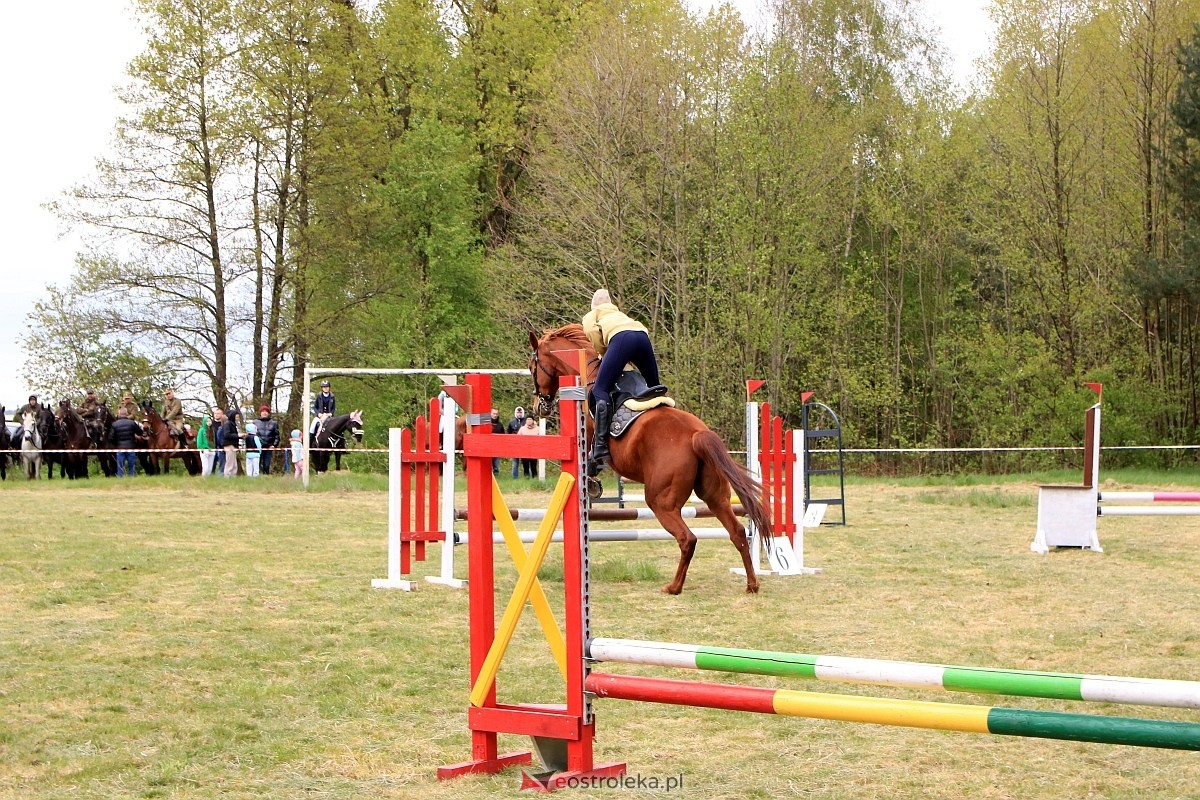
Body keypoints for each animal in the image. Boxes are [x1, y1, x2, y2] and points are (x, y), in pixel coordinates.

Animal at [530, 326, 772, 594]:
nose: (539, 406)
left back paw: (674, 587)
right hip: (715, 496)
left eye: (532, 366)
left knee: (687, 538)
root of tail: (696, 434)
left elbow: (591, 460)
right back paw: (752, 584)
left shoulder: (590, 431)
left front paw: (592, 483)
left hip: (660, 501)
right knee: (737, 532)